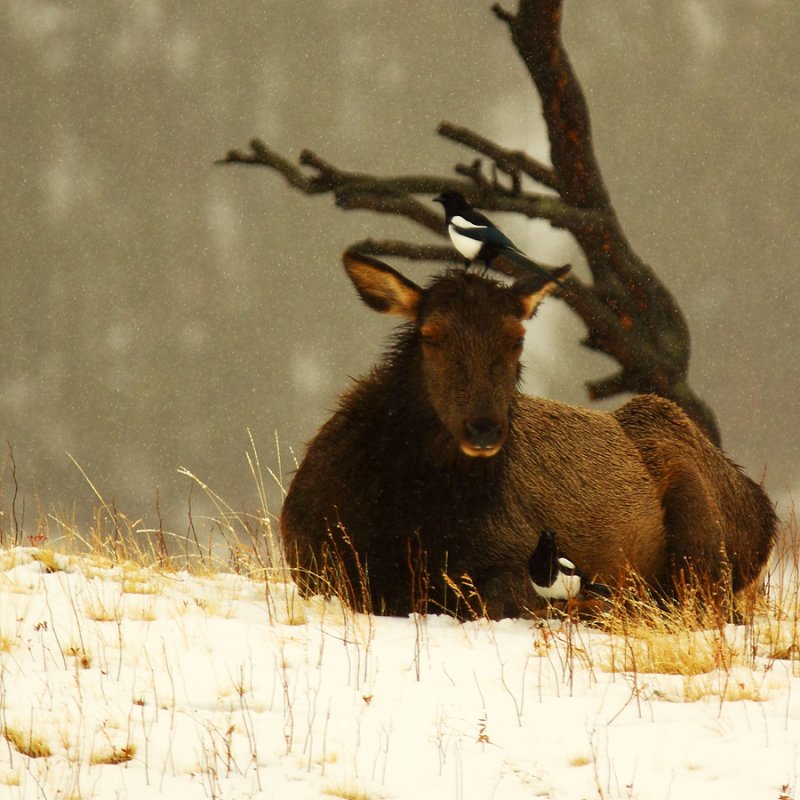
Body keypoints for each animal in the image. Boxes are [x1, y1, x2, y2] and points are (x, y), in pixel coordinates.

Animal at [280, 250, 776, 620]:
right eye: (431, 335)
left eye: (516, 339)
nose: (484, 427)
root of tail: (762, 511)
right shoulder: (309, 562)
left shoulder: (518, 552)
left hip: (700, 528)